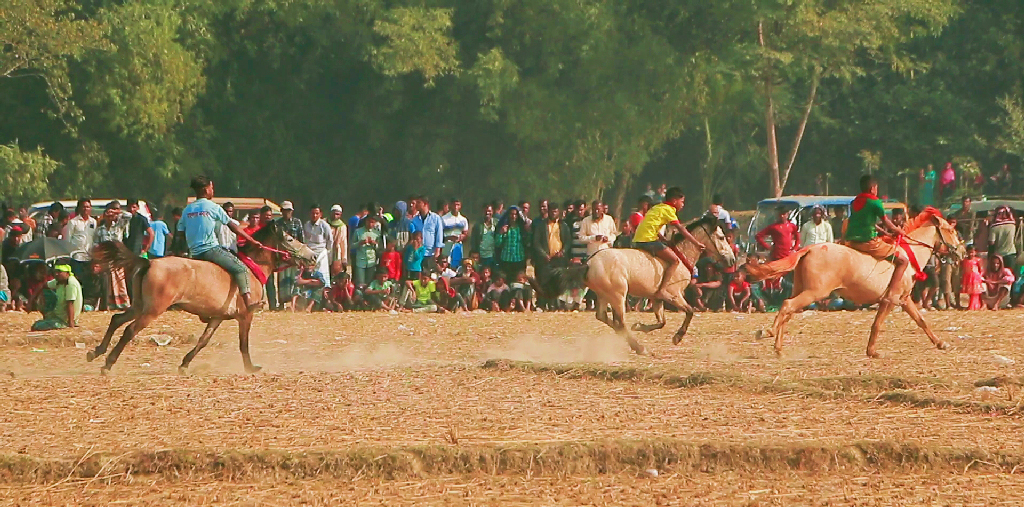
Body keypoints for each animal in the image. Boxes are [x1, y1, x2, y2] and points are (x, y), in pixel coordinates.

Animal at [90, 220, 317, 374]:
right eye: (289, 239)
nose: (313, 256)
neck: (251, 267)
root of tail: (149, 262)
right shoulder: (246, 315)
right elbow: (243, 344)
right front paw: (250, 367)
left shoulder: (217, 317)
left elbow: (203, 341)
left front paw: (185, 363)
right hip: (152, 310)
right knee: (129, 330)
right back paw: (108, 363)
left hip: (139, 305)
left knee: (116, 319)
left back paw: (96, 352)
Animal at [544, 213, 737, 352]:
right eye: (721, 237)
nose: (732, 260)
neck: (681, 255)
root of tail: (589, 263)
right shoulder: (673, 295)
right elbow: (690, 311)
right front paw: (677, 336)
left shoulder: (657, 298)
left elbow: (662, 321)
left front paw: (639, 326)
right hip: (618, 294)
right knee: (620, 321)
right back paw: (638, 347)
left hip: (603, 294)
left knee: (603, 316)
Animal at [749, 207, 962, 358]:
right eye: (951, 230)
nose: (961, 252)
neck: (910, 254)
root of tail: (810, 248)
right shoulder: (891, 299)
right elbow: (878, 324)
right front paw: (872, 351)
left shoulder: (904, 299)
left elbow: (921, 321)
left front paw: (940, 343)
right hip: (814, 292)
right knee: (786, 305)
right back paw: (768, 332)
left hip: (802, 290)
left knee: (788, 312)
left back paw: (778, 348)